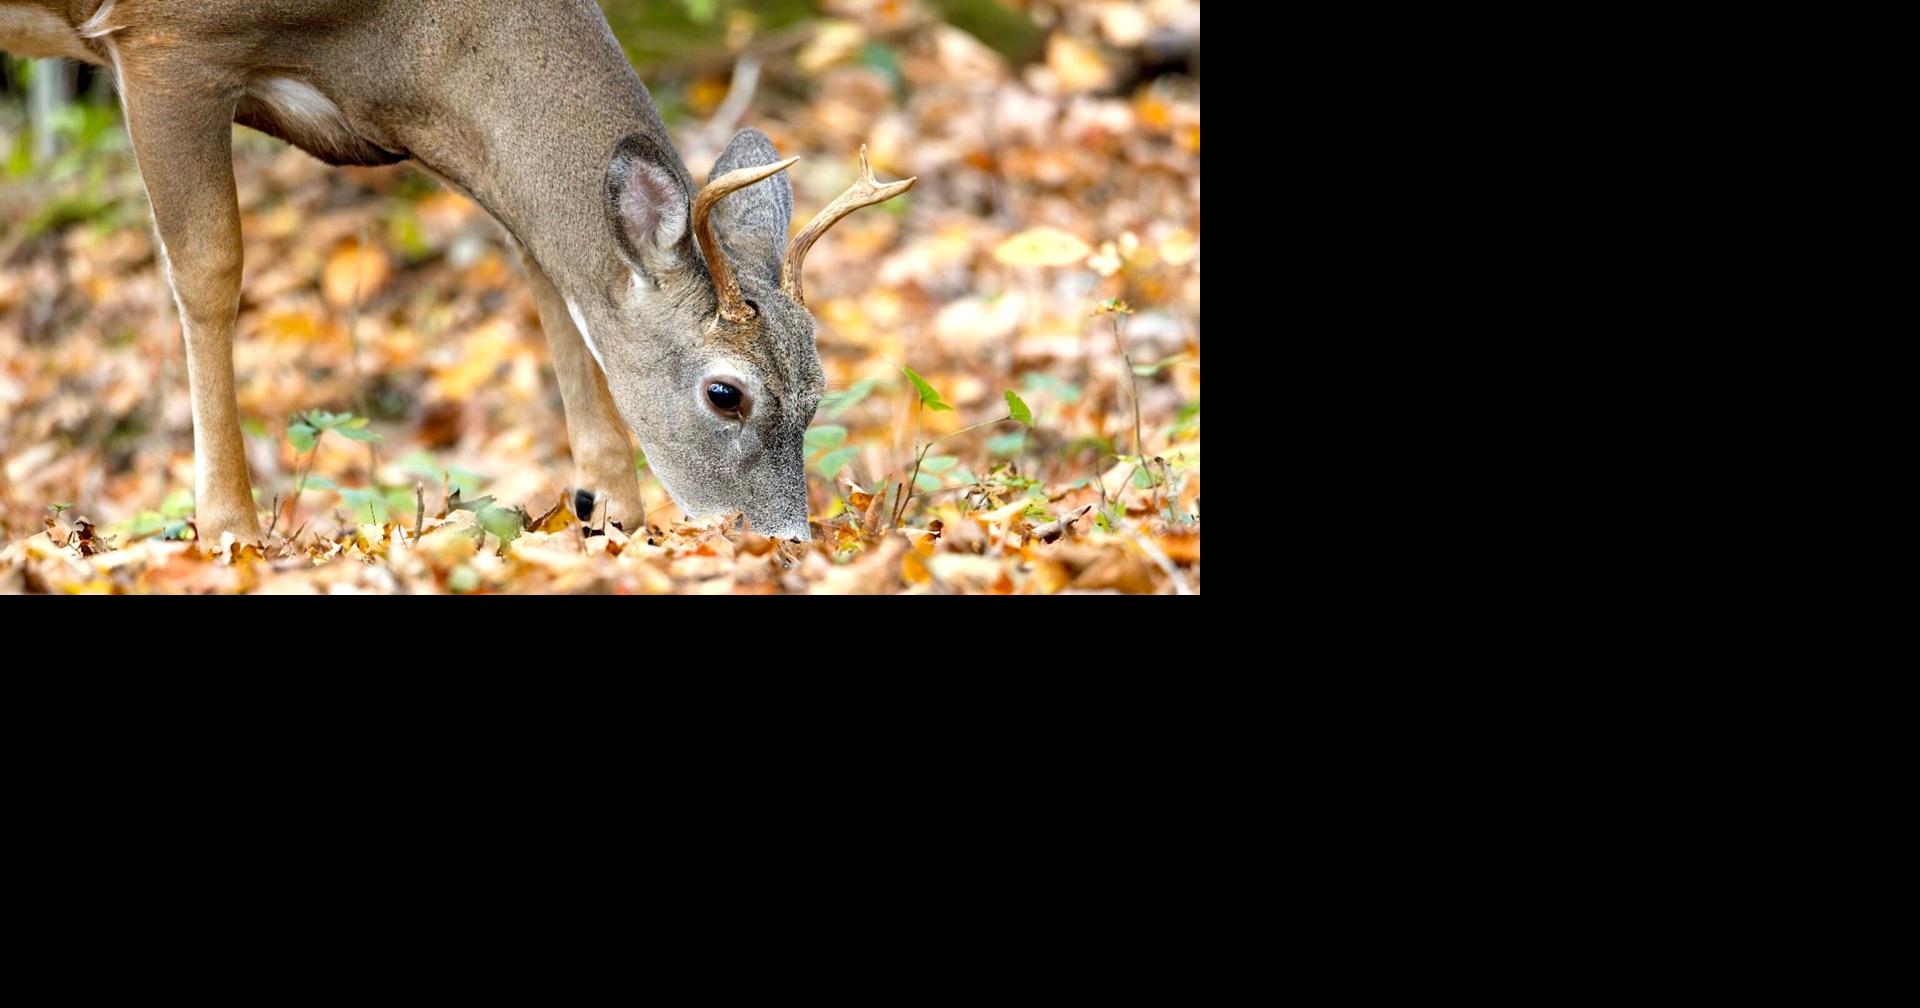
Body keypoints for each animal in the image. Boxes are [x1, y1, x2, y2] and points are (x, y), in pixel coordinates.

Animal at [1, 0, 913, 547]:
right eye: (726, 394)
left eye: (819, 389)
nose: (786, 545)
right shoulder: (166, 43)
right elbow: (209, 268)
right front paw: (230, 528)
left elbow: (546, 266)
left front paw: (607, 507)